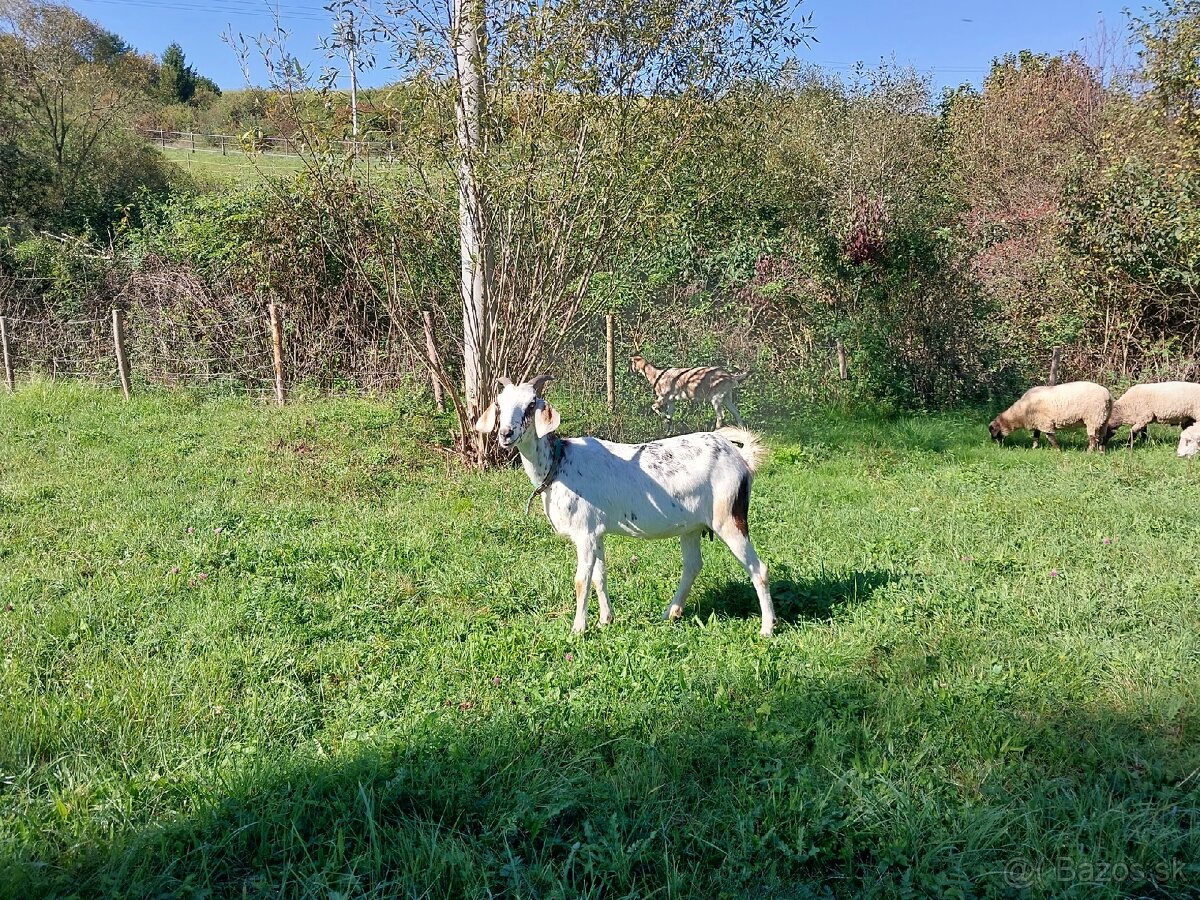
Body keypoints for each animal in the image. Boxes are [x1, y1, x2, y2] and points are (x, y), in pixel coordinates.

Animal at [472, 376, 772, 638]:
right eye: (499, 404)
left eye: (531, 403)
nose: (506, 434)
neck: (559, 463)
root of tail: (741, 457)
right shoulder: (597, 532)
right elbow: (599, 575)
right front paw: (606, 620)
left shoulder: (585, 532)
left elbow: (582, 579)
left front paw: (578, 629)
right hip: (692, 525)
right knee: (693, 565)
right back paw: (670, 613)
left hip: (729, 517)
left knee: (759, 568)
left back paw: (767, 628)